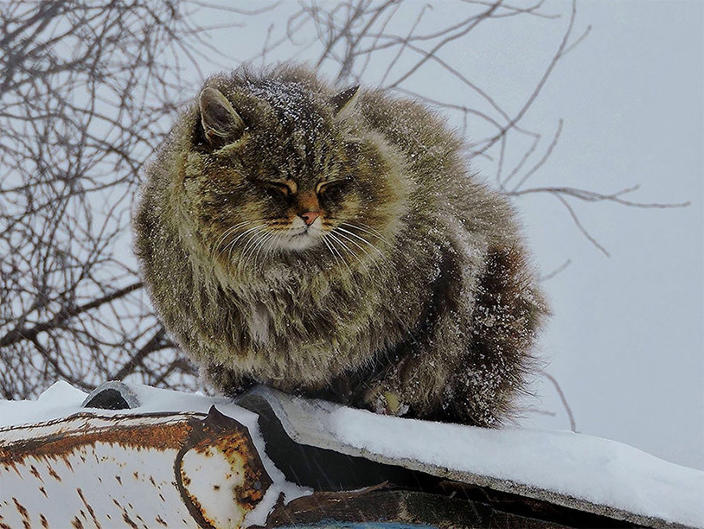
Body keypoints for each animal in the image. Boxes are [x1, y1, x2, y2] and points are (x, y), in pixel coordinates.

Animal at [133, 64, 552, 426]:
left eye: (327, 185)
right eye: (277, 187)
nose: (310, 216)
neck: (277, 279)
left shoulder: (443, 279)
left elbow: (411, 364)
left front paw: (384, 396)